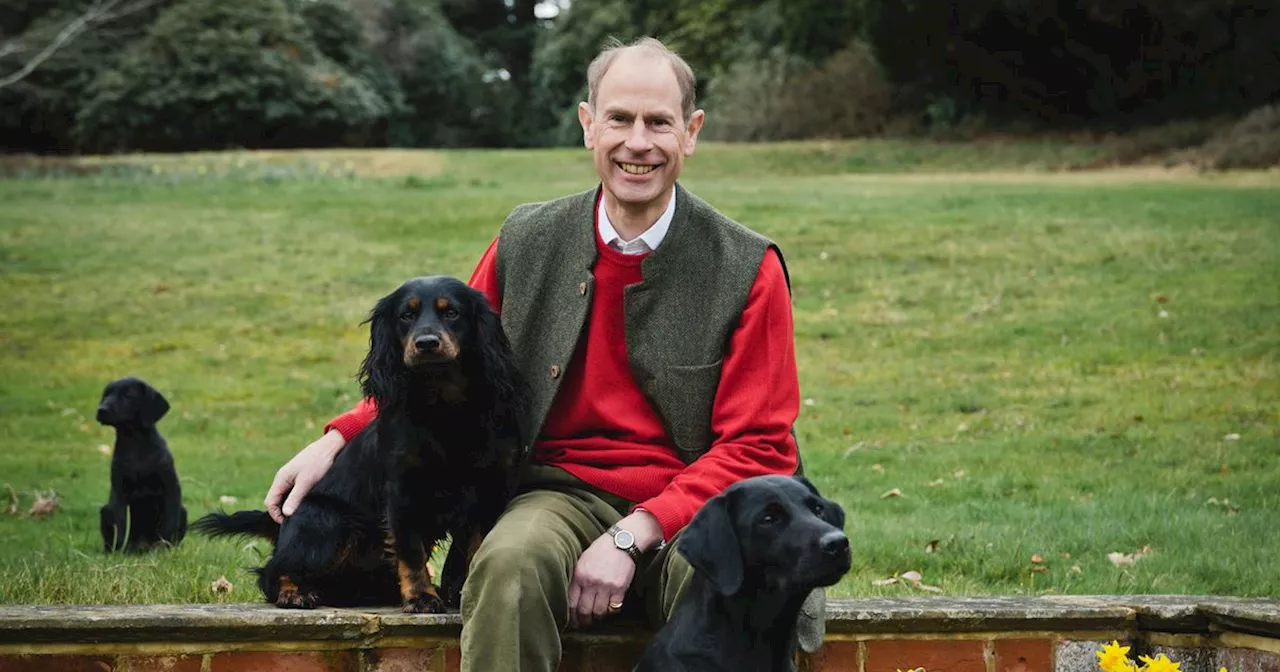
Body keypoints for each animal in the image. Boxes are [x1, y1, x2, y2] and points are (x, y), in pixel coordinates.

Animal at [94, 373, 186, 552]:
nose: (101, 410)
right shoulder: (119, 491)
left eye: (128, 395)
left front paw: (164, 550)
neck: (134, 443)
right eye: (107, 394)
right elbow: (120, 525)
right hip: (105, 510)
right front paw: (119, 552)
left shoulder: (171, 487)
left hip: (183, 511)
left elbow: (169, 524)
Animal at [190, 275, 529, 609]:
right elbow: (411, 552)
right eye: (406, 315)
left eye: (452, 313)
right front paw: (421, 596)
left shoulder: (487, 489)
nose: (426, 343)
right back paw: (294, 593)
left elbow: (475, 548)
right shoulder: (402, 491)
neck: (444, 406)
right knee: (271, 572)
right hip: (329, 520)